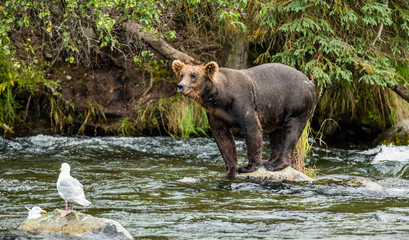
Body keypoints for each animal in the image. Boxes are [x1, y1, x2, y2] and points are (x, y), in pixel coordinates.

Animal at [171, 60, 316, 178]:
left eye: (194, 76)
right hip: (277, 110)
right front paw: (230, 170)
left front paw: (248, 167)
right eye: (182, 74)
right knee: (277, 133)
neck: (220, 97)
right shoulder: (216, 114)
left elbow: (252, 129)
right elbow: (224, 140)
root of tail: (310, 82)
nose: (180, 86)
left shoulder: (243, 102)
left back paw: (276, 164)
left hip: (296, 101)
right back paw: (271, 161)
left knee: (291, 130)